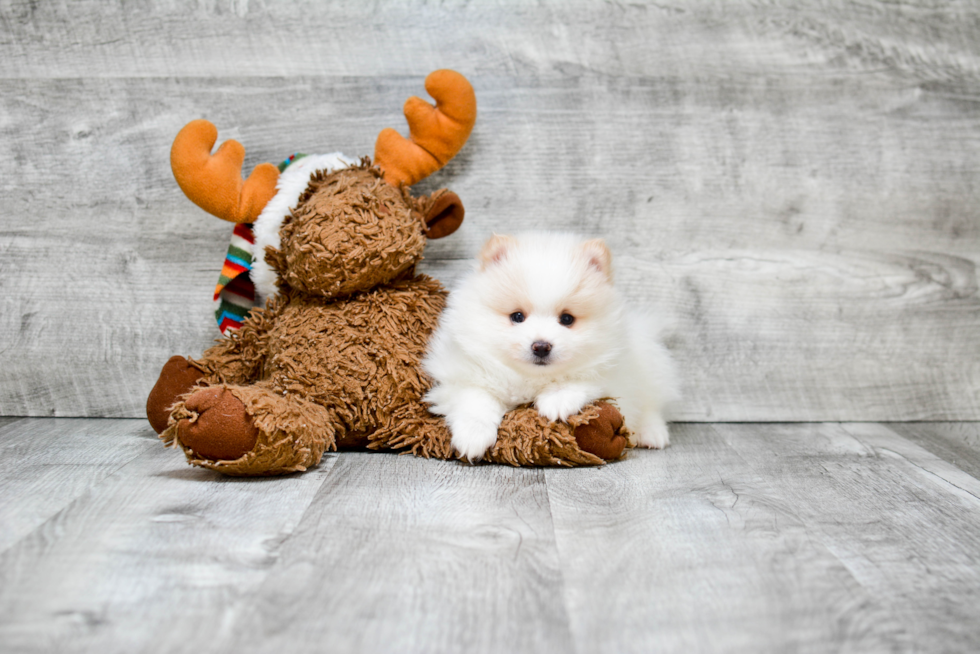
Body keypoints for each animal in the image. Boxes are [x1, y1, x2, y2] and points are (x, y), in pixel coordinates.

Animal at [424, 231, 676, 462]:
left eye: (567, 319)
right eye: (517, 316)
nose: (541, 346)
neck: (531, 379)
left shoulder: (615, 372)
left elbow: (586, 379)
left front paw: (557, 399)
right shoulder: (459, 374)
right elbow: (476, 398)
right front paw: (473, 435)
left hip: (651, 370)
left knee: (651, 406)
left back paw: (652, 434)